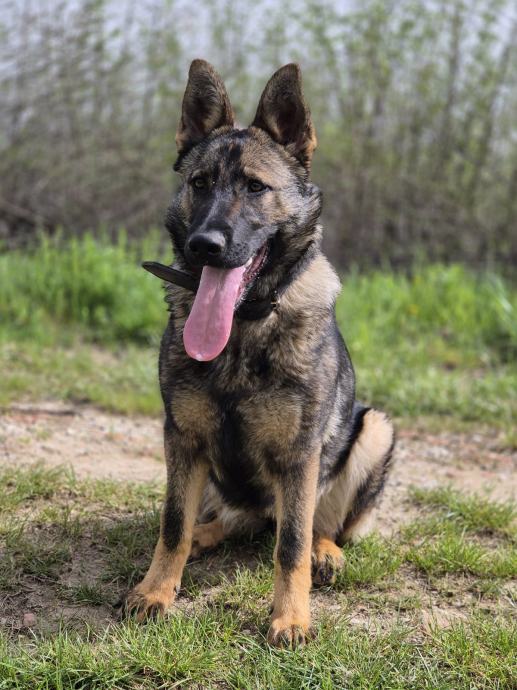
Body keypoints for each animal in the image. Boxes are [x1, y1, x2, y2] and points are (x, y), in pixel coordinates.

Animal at [124, 60, 395, 648]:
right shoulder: (182, 438)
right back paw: (206, 536)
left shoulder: (299, 458)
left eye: (255, 187)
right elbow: (172, 524)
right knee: (222, 522)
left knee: (315, 526)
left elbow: (290, 544)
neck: (243, 327)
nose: (205, 245)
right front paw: (157, 590)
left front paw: (291, 617)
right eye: (200, 184)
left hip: (375, 431)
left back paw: (325, 553)